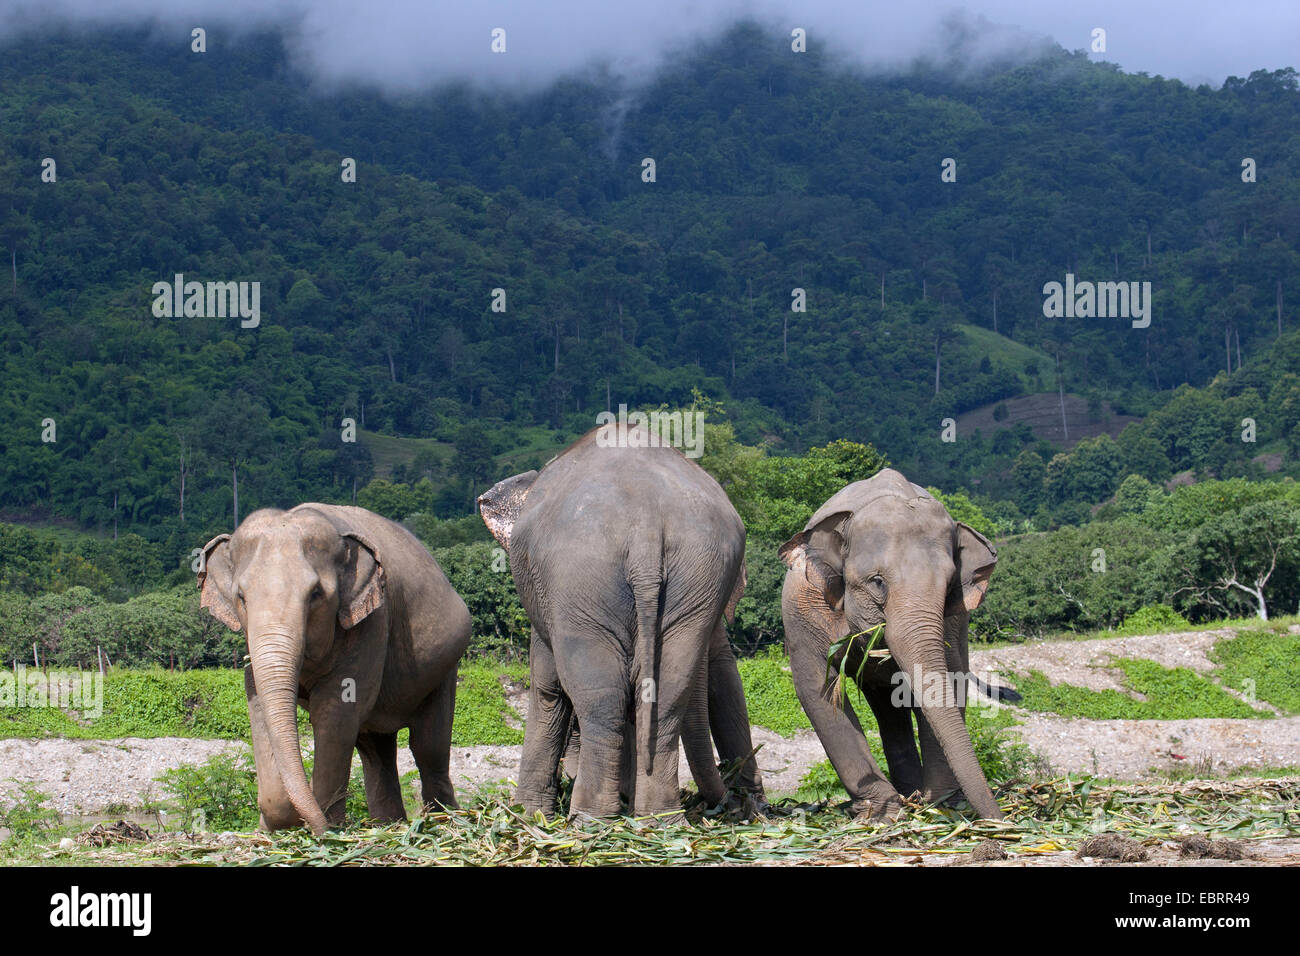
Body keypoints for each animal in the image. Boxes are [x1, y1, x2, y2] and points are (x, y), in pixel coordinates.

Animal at [197, 504, 473, 832]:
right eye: (241, 597)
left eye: (316, 594)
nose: (313, 827)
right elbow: (259, 704)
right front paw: (273, 829)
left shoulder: (371, 622)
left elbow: (334, 711)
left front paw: (327, 828)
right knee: (375, 748)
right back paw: (389, 826)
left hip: (444, 668)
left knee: (427, 746)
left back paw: (443, 822)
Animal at [478, 426, 759, 822]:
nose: (735, 801)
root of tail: (645, 524)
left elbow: (548, 688)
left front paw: (529, 815)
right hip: (696, 574)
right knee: (667, 691)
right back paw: (659, 819)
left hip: (580, 583)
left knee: (601, 696)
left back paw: (590, 819)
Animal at [780, 468, 1003, 816]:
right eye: (877, 582)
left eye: (949, 586)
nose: (999, 820)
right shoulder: (804, 607)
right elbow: (817, 688)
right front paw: (883, 813)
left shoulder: (954, 620)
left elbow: (951, 680)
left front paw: (940, 805)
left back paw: (914, 794)